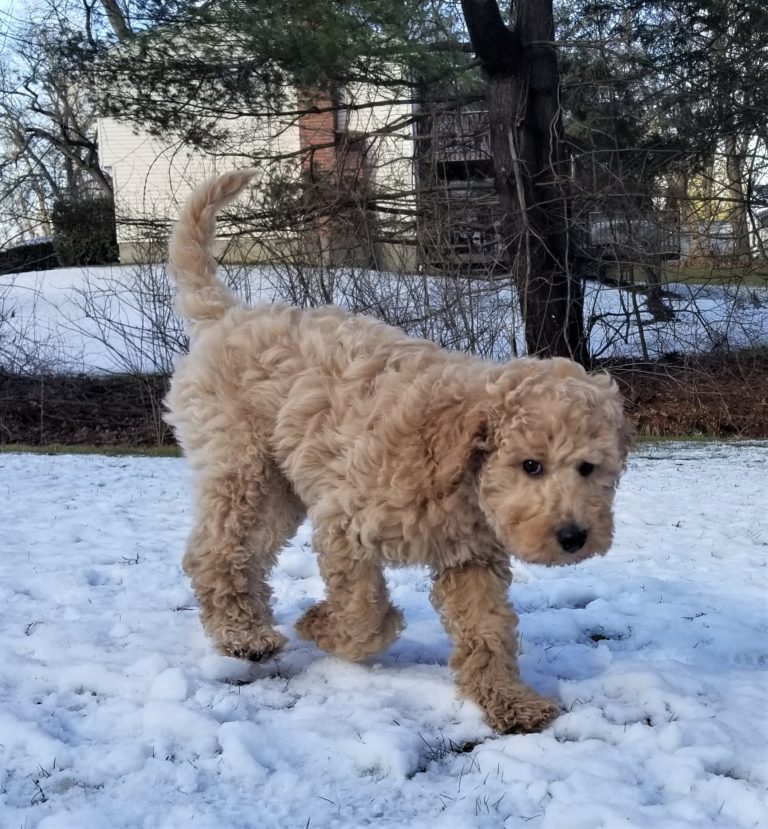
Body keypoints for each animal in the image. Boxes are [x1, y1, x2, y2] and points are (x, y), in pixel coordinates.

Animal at [166, 168, 632, 732]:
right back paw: (242, 634)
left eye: (588, 467)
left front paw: (507, 699)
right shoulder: (345, 521)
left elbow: (487, 629)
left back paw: (250, 624)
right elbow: (364, 611)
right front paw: (322, 626)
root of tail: (227, 316)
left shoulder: (471, 558)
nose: (573, 537)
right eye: (531, 465)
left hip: (279, 488)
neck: (453, 464)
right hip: (243, 467)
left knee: (247, 553)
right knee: (215, 550)